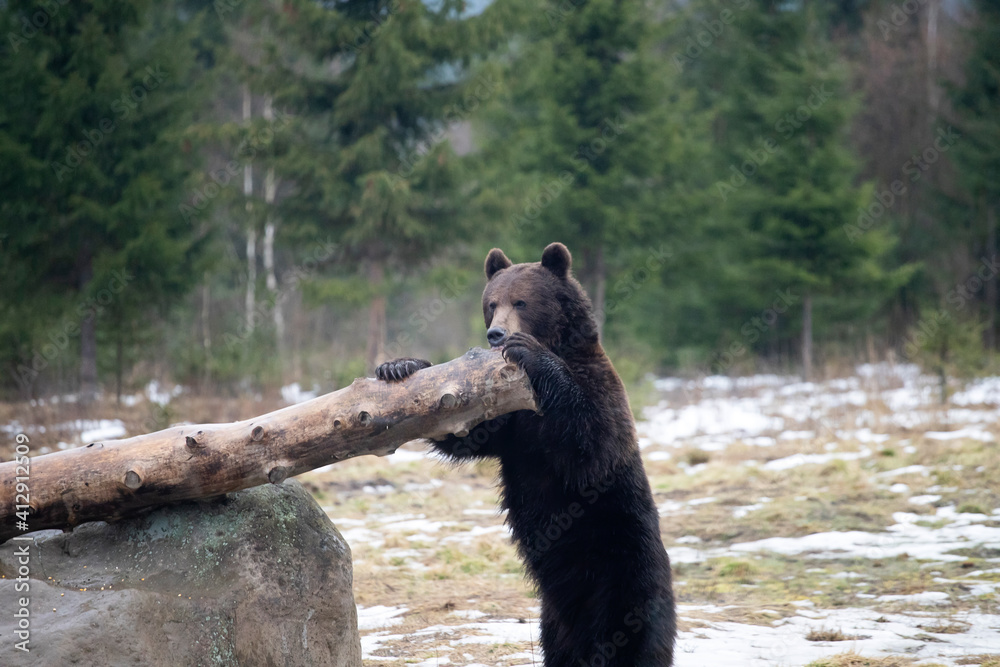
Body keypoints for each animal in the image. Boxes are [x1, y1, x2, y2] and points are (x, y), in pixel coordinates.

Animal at [376, 242, 675, 666]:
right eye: (491, 303)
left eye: (521, 301)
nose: (497, 333)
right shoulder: (510, 420)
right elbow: (465, 434)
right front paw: (401, 365)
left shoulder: (597, 392)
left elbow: (592, 438)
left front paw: (529, 351)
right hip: (553, 617)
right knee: (559, 646)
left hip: (623, 568)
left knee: (630, 636)